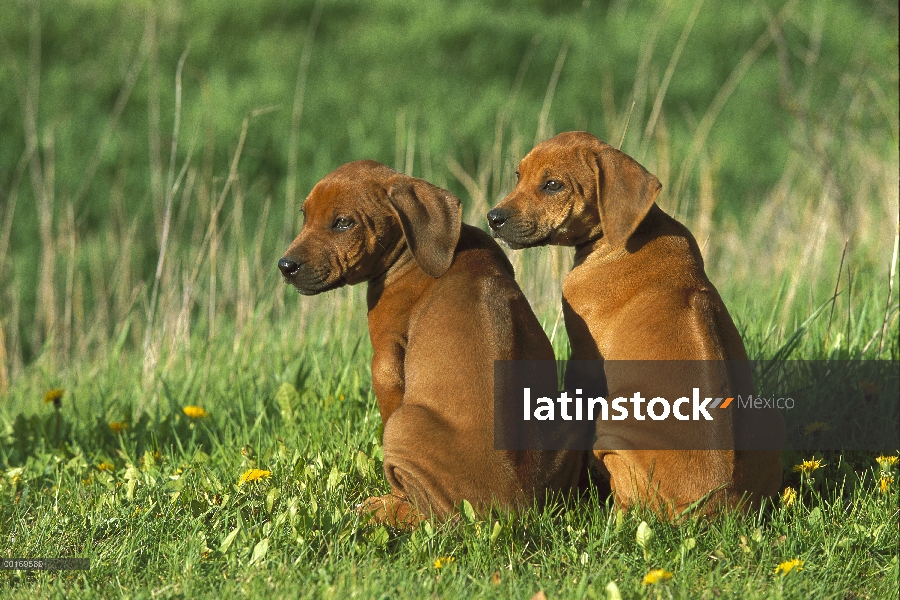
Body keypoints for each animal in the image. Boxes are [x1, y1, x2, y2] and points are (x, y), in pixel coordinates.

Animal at [278, 161, 584, 528]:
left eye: (343, 223)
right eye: (304, 215)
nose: (285, 266)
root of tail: (515, 510)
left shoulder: (386, 364)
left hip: (404, 426)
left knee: (431, 514)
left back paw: (383, 508)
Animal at [488, 132, 784, 516]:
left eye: (553, 185)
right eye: (517, 175)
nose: (493, 218)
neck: (630, 232)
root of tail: (715, 507)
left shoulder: (584, 359)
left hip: (611, 424)